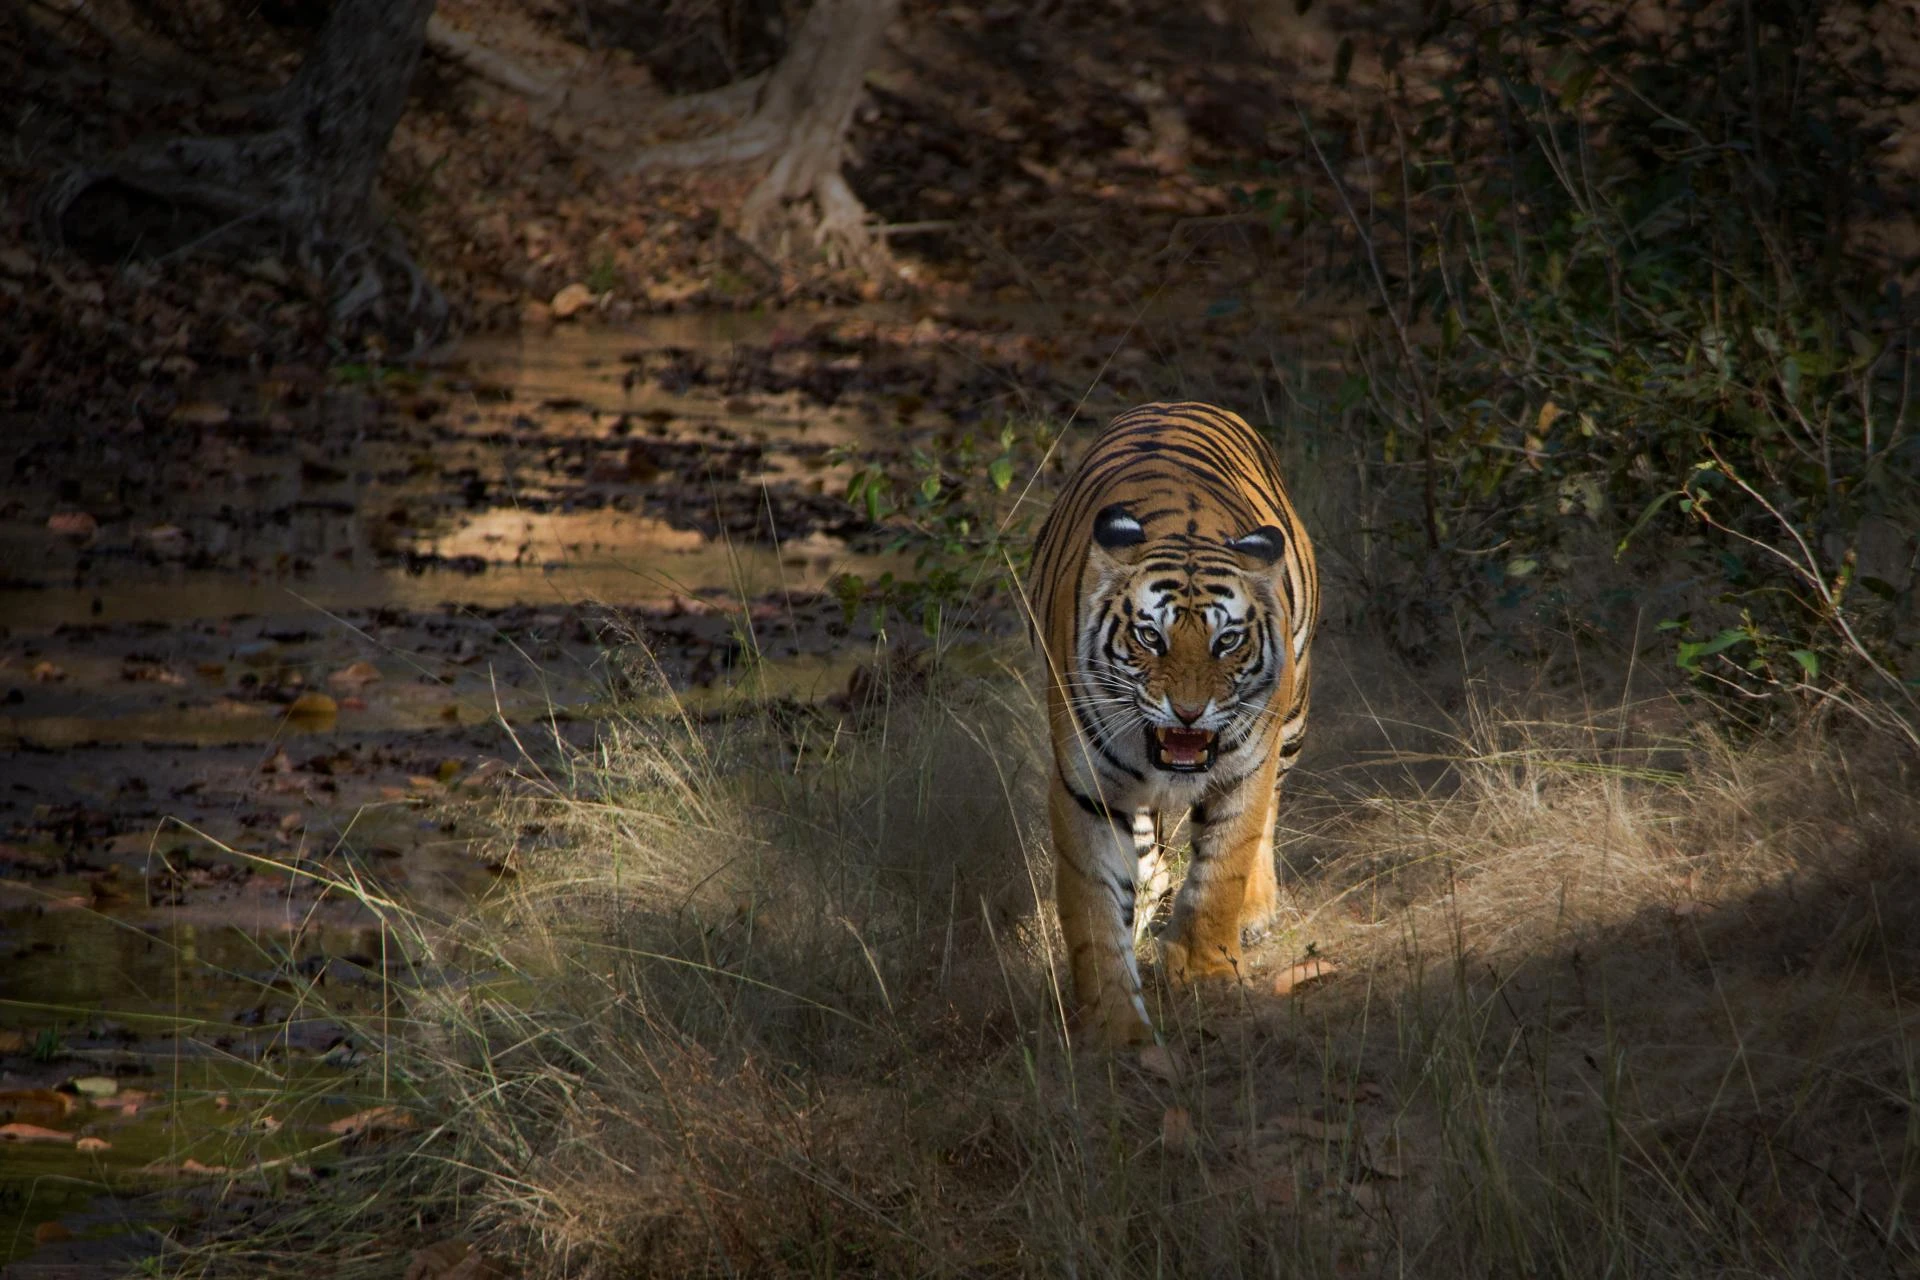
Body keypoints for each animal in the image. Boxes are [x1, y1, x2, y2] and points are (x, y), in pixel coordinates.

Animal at [1028, 402, 1318, 1046]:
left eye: (1227, 641)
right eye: (1149, 637)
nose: (1188, 711)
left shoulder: (1247, 766)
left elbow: (1224, 866)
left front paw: (1206, 970)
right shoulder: (1087, 788)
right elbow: (1093, 908)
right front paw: (1114, 1026)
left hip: (1292, 722)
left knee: (1270, 813)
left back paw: (1255, 911)